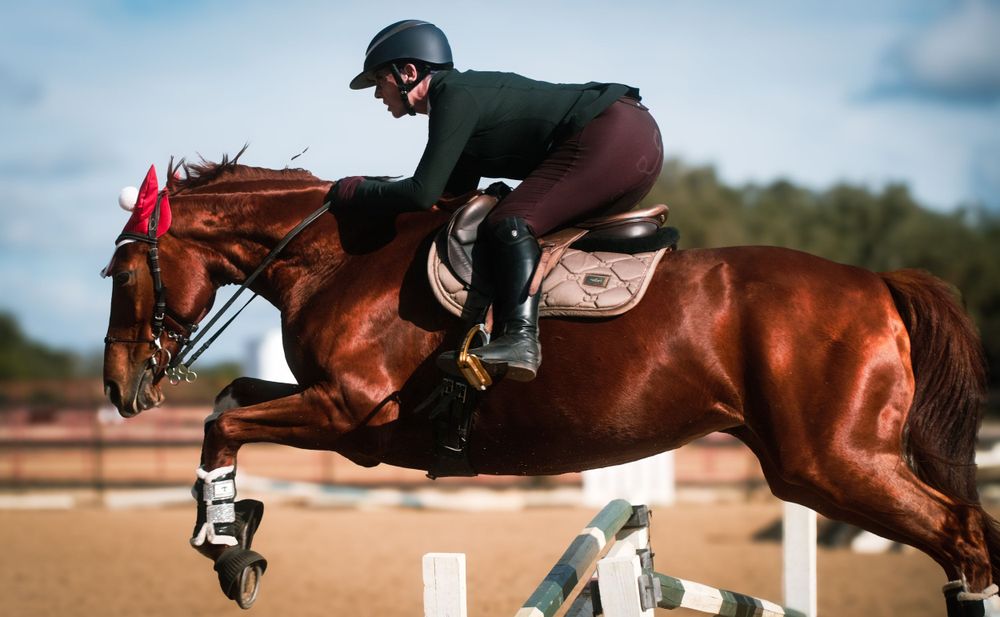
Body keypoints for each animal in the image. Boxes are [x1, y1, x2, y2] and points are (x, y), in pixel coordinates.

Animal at [102, 155, 998, 616]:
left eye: (122, 272)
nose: (118, 387)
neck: (337, 258)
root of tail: (878, 283)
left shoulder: (350, 412)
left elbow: (223, 423)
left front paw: (225, 547)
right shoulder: (337, 414)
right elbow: (230, 405)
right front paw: (235, 529)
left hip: (831, 462)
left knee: (964, 532)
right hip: (833, 462)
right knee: (968, 530)